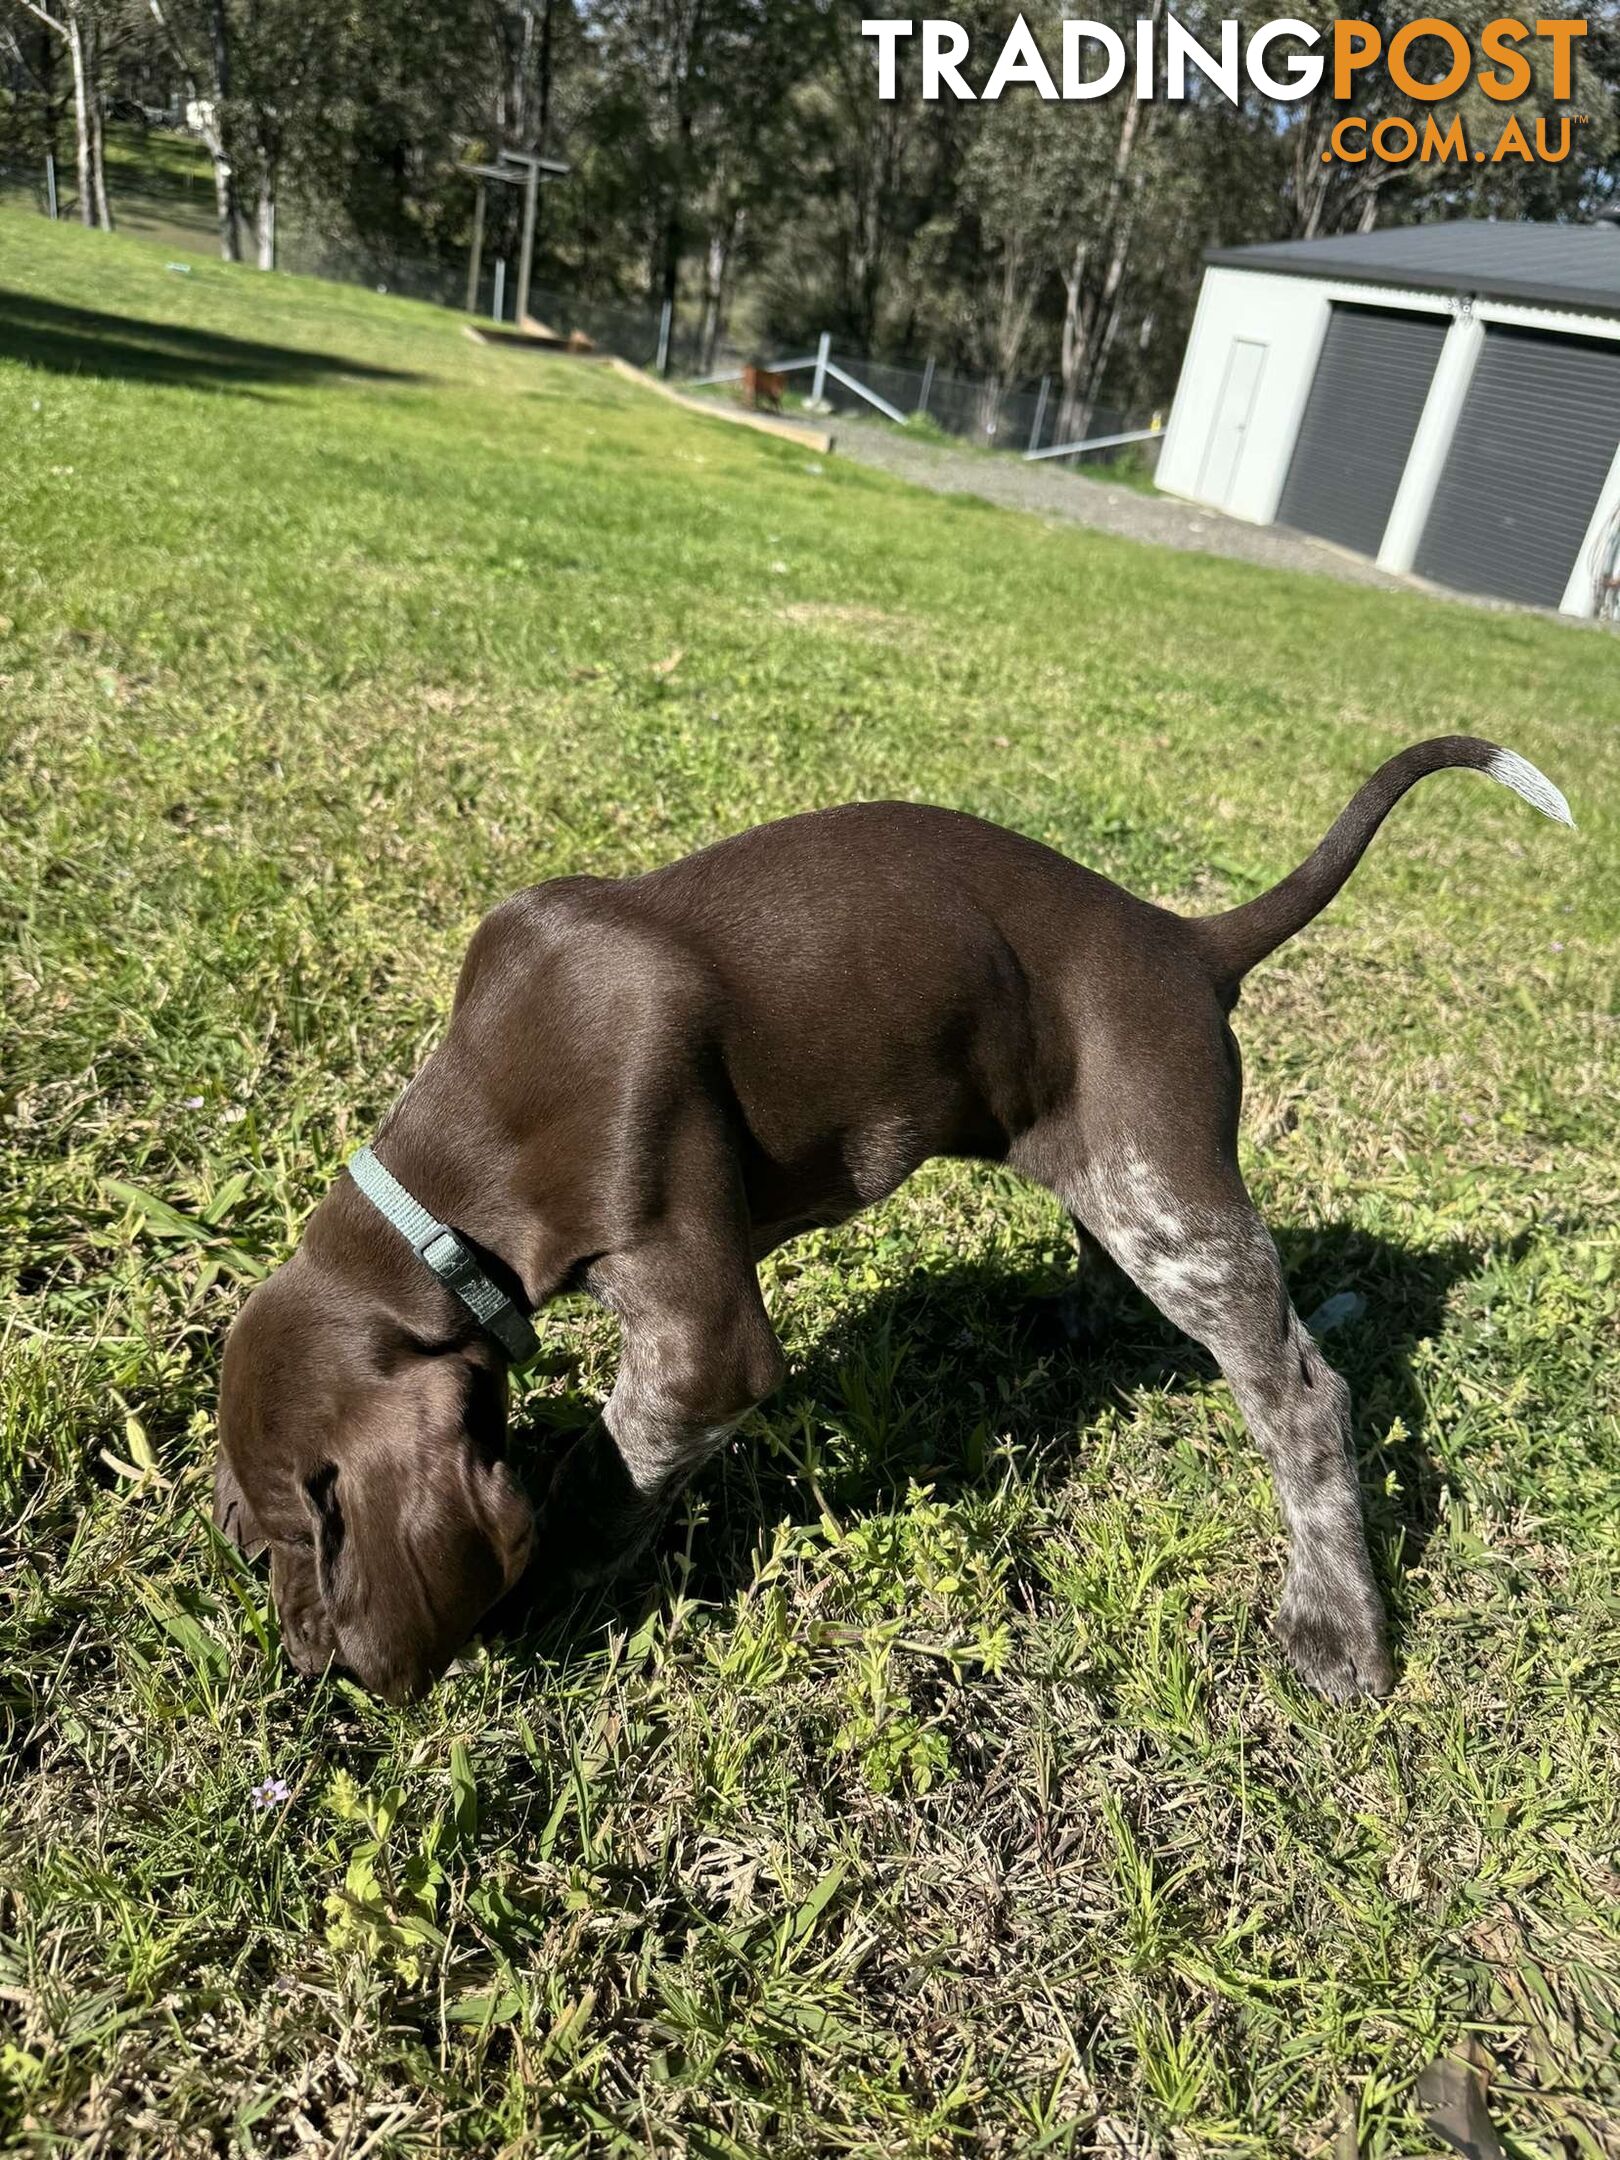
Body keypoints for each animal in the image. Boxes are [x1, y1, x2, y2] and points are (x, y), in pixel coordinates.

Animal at [216, 734, 1572, 1693]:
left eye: (298, 1537)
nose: (308, 1667)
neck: (465, 1163)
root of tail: (1181, 940)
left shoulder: (701, 1336)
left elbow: (608, 1468)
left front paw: (555, 1593)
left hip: (1169, 1196)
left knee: (1301, 1394)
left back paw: (1339, 1619)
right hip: (1114, 1175)